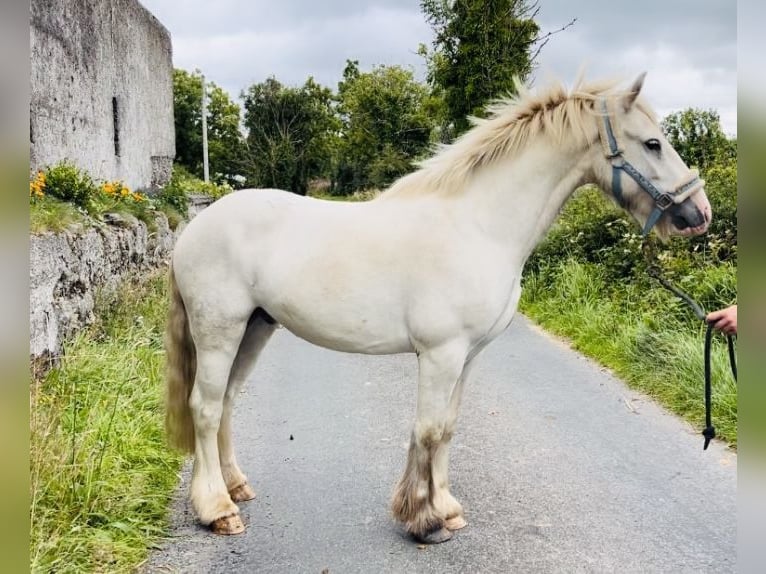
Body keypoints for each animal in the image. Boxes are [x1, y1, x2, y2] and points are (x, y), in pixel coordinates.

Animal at [165, 75, 712, 544]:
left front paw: (444, 509)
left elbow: (446, 428)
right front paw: (425, 521)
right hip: (220, 332)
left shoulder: (466, 356)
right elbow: (427, 429)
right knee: (205, 408)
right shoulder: (441, 353)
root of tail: (195, 227)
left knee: (227, 402)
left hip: (255, 329)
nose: (700, 214)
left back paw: (236, 488)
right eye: (653, 143)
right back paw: (218, 510)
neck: (479, 225)